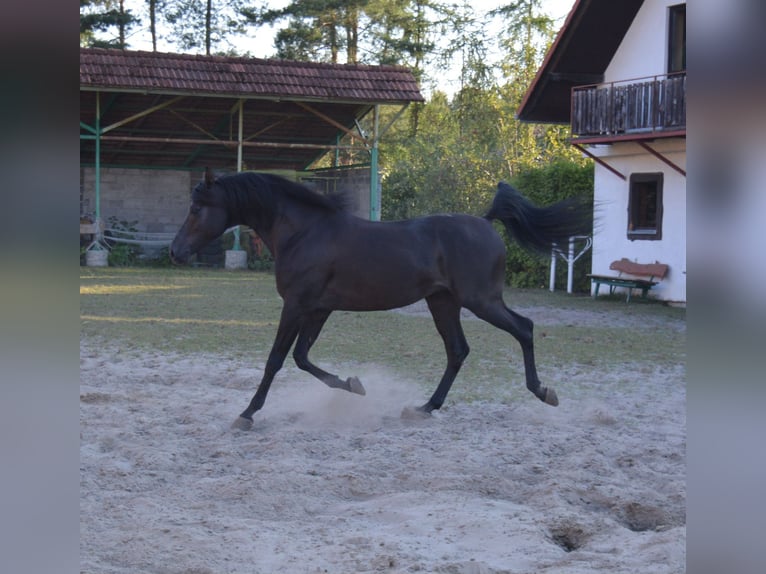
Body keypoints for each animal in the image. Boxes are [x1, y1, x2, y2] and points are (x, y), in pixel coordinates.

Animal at [172, 171, 592, 432]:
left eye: (195, 209)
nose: (175, 252)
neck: (305, 232)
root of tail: (487, 222)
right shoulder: (318, 308)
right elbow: (302, 358)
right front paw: (354, 385)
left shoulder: (296, 305)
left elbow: (276, 360)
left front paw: (246, 415)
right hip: (443, 303)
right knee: (458, 350)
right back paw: (423, 408)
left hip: (481, 300)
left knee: (524, 328)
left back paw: (544, 392)